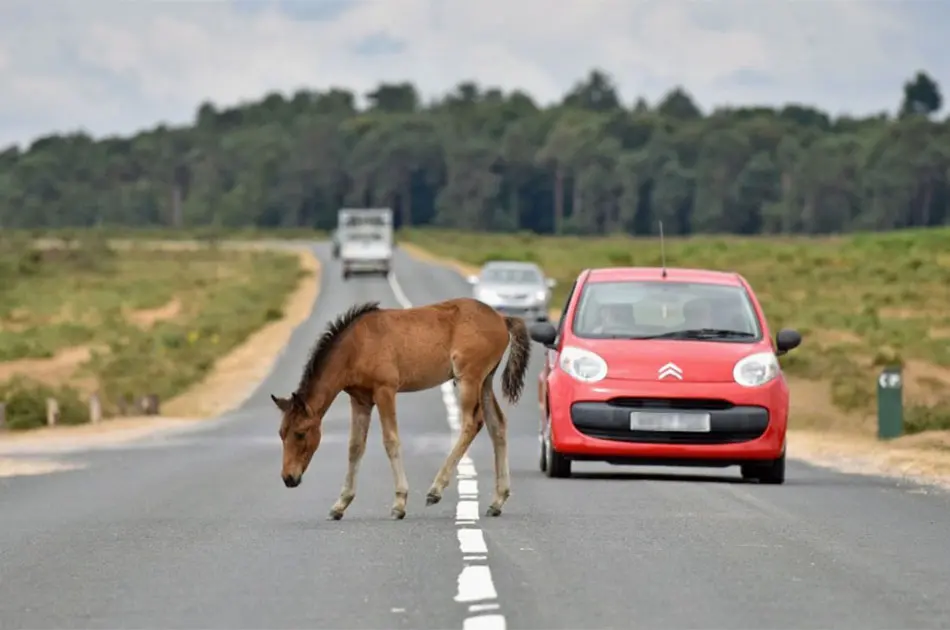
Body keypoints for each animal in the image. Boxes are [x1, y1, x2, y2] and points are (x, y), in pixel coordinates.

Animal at [269, 297, 532, 520]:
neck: (357, 346)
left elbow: (391, 441)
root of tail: (502, 319)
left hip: (469, 378)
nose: (288, 478)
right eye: (281, 434)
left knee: (472, 423)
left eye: (300, 433)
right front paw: (340, 504)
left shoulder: (385, 391)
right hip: (485, 381)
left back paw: (435, 490)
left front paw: (399, 504)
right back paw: (497, 501)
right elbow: (355, 447)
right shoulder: (360, 400)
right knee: (497, 425)